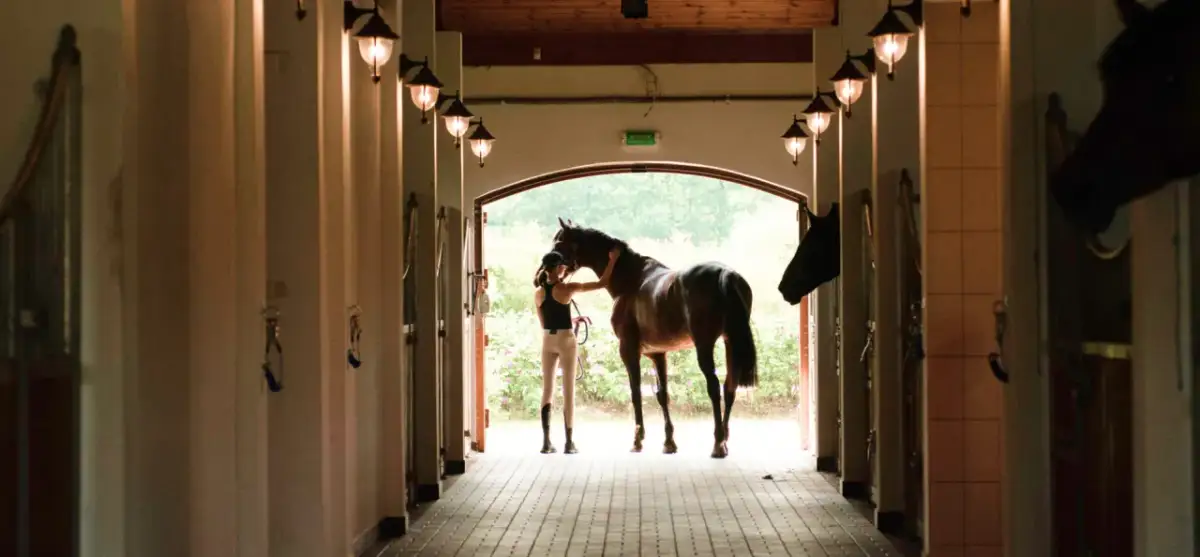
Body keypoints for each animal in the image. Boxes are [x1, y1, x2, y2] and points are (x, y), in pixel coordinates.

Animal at [550, 218, 758, 458]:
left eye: (559, 242)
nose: (547, 264)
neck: (630, 279)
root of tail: (725, 274)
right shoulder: (658, 353)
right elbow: (662, 394)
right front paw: (669, 443)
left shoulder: (628, 350)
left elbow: (636, 392)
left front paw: (638, 440)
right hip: (730, 342)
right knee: (729, 387)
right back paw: (724, 440)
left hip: (705, 344)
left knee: (714, 387)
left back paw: (717, 444)